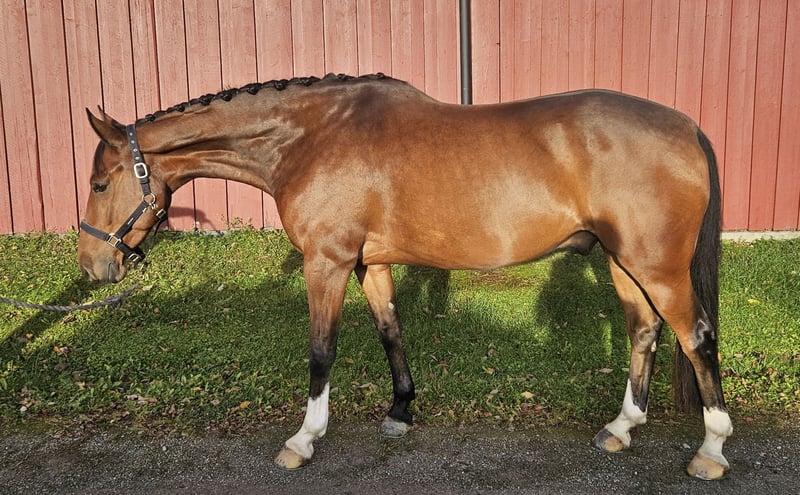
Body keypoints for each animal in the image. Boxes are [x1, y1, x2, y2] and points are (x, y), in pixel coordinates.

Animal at [77, 73, 732, 480]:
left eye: (101, 184)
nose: (92, 267)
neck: (311, 137)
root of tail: (687, 127)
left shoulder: (328, 262)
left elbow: (321, 350)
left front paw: (304, 439)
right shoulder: (371, 263)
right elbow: (390, 330)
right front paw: (400, 412)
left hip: (656, 265)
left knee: (696, 336)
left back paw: (711, 450)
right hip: (623, 263)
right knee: (644, 331)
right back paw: (622, 427)